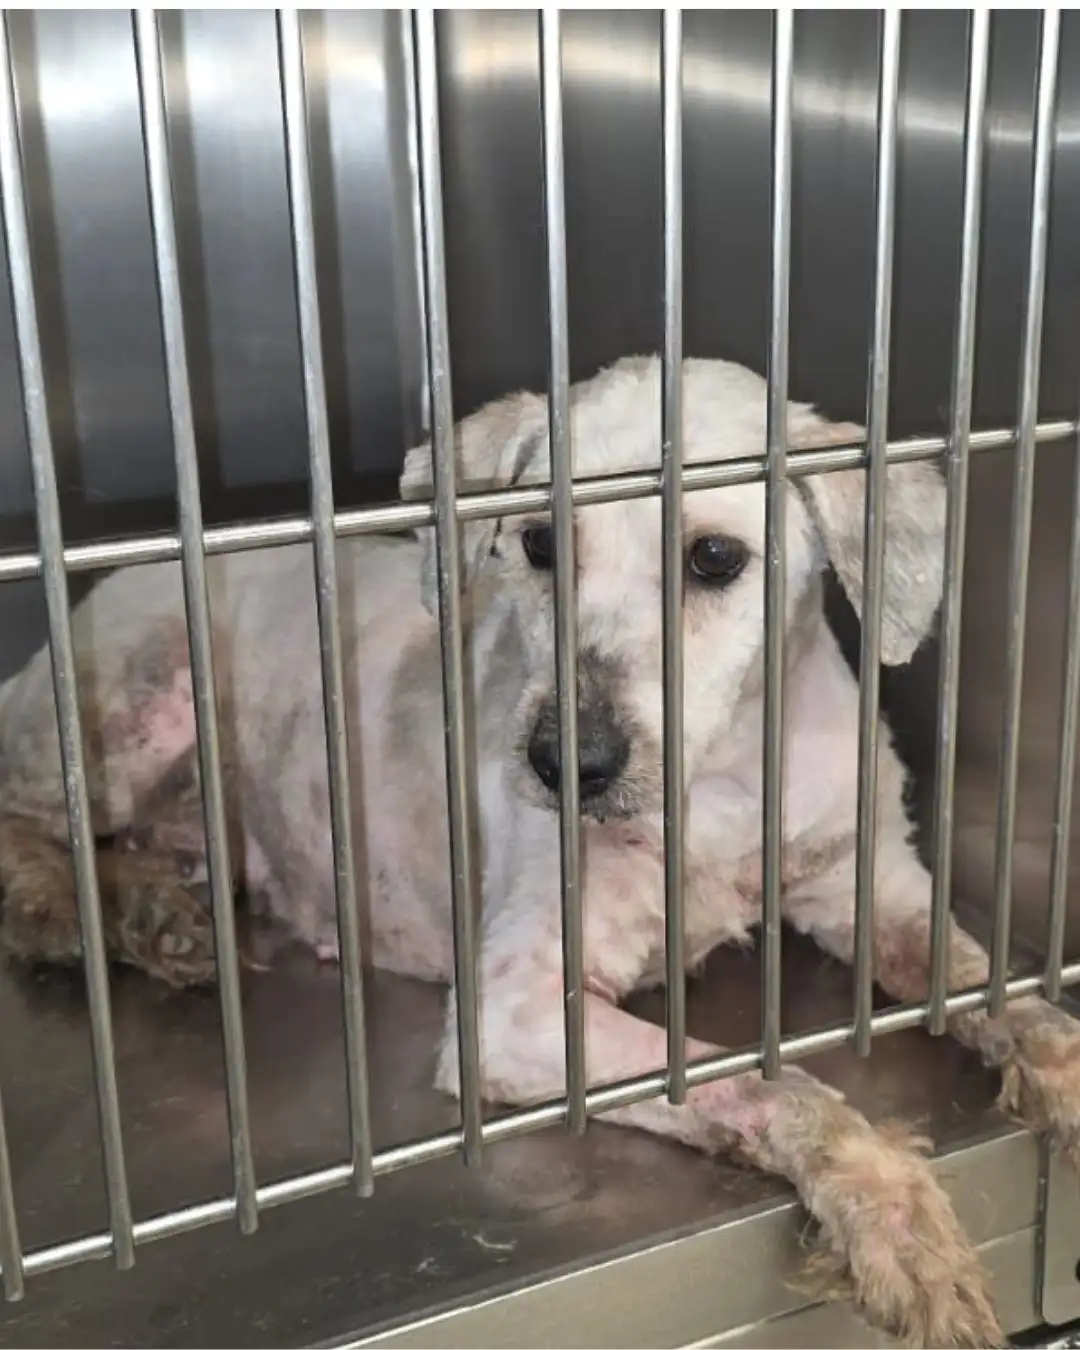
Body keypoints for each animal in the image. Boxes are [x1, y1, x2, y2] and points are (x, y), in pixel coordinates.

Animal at [2, 354, 1079, 1347]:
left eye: (715, 557)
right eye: (539, 540)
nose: (567, 764)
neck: (720, 790)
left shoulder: (873, 886)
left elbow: (985, 980)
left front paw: (1058, 1062)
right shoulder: (520, 1013)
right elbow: (779, 1085)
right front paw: (895, 1216)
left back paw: (153, 909)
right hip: (129, 709)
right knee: (26, 828)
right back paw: (92, 913)